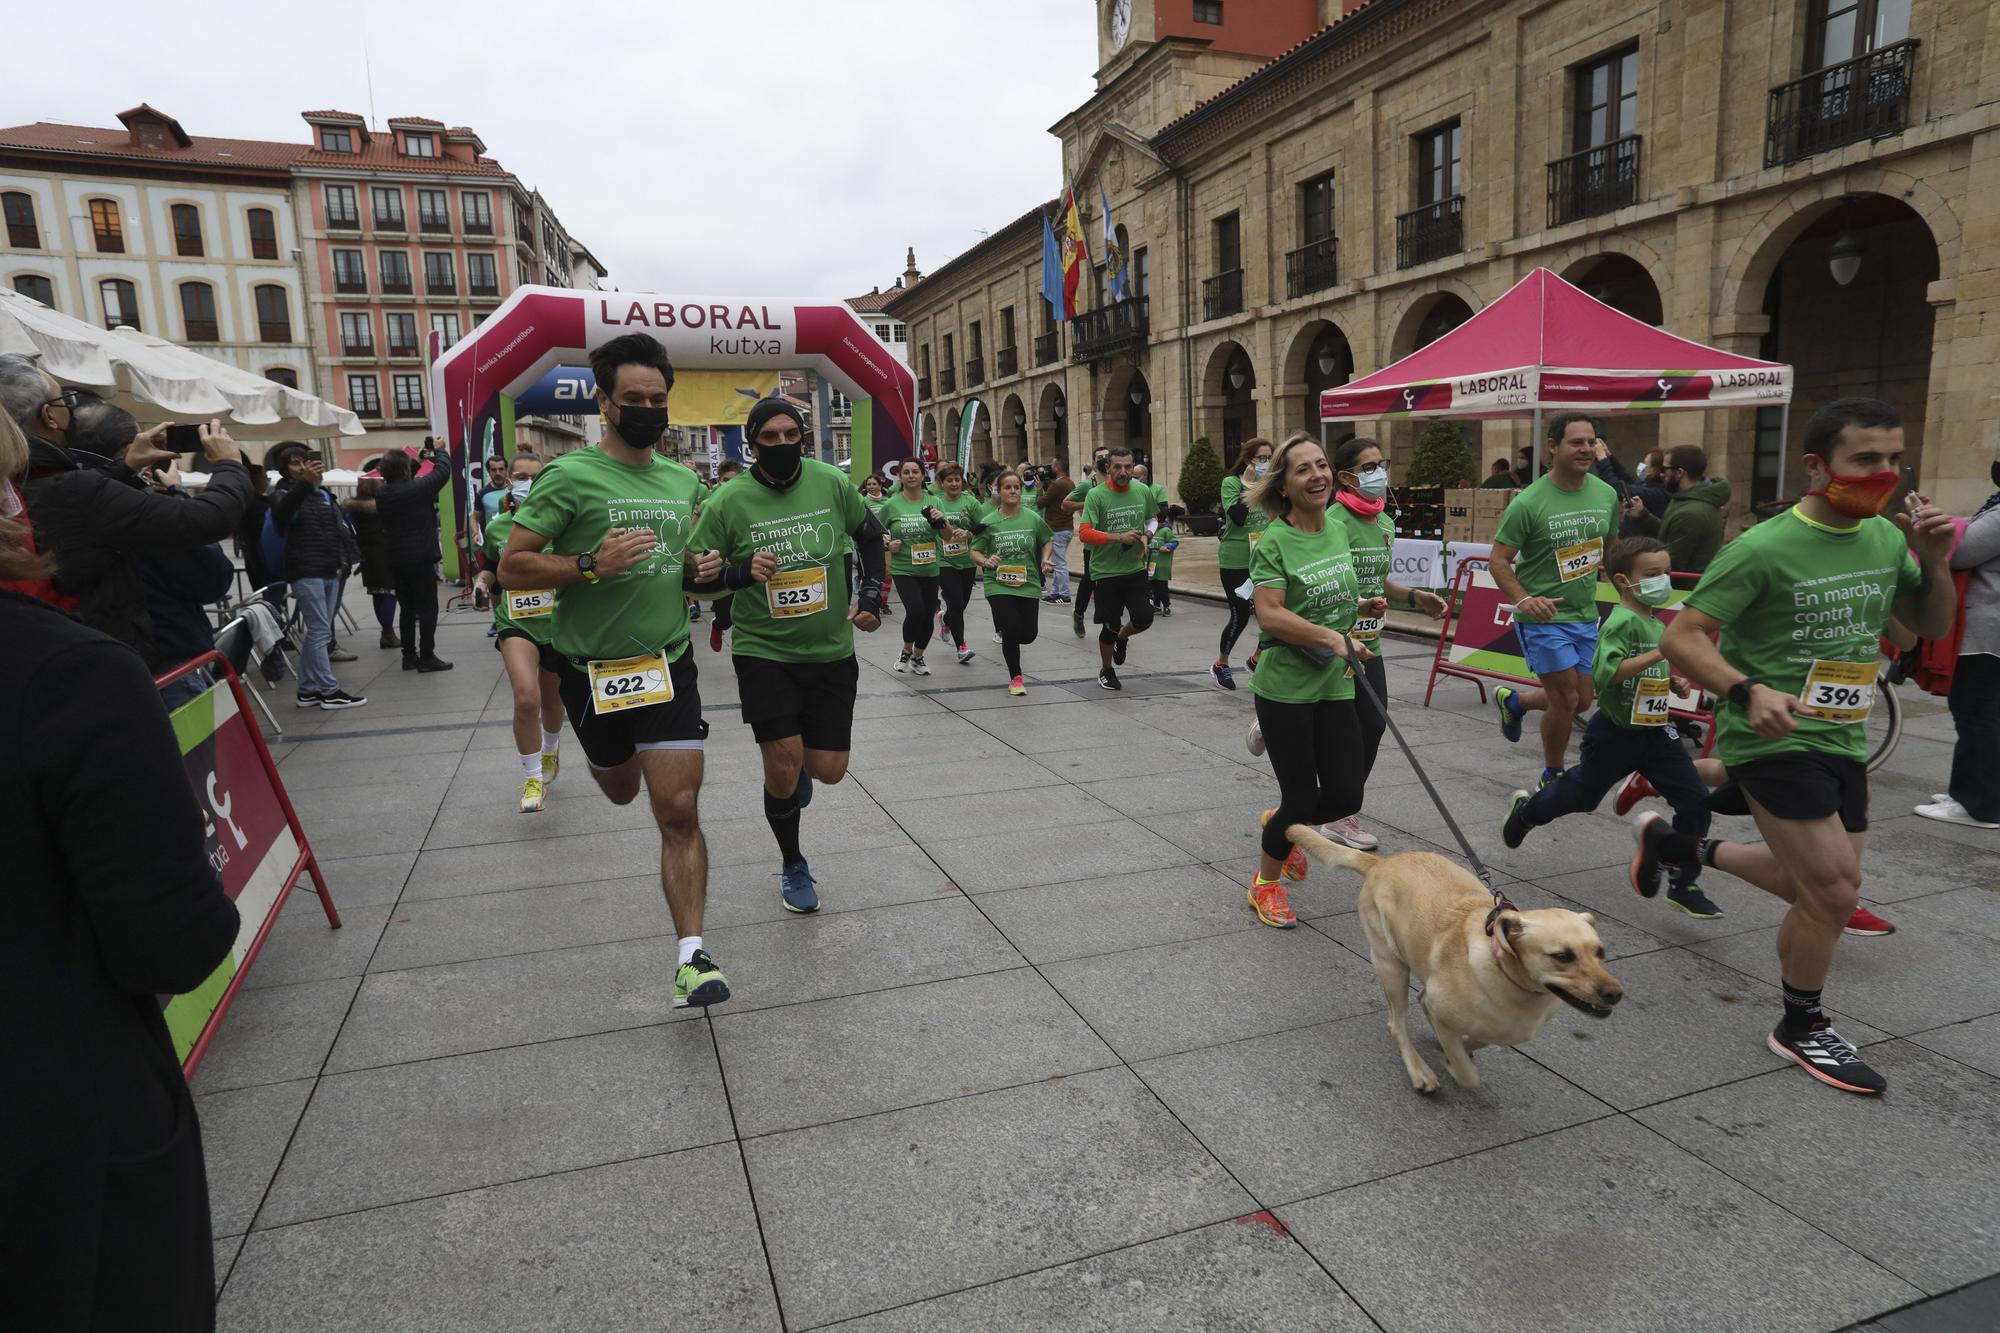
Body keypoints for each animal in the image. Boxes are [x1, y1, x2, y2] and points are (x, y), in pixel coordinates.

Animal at [1280, 820, 1624, 1088]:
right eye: (1562, 956)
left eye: (1600, 952)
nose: (1615, 993)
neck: (1510, 979)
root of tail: (1382, 863)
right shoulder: (1440, 1005)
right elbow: (1466, 1071)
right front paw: (1451, 1062)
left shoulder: (1503, 1028)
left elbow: (1478, 1037)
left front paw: (1460, 1045)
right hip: (1391, 965)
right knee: (1397, 1024)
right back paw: (1419, 1070)